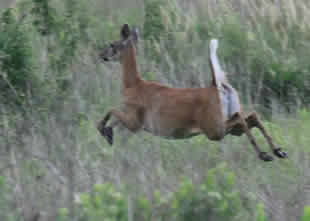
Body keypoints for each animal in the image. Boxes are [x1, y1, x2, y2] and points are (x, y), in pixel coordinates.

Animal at [97, 24, 288, 161]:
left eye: (112, 45)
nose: (101, 55)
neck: (132, 85)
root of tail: (217, 85)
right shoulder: (132, 121)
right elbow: (114, 118)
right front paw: (108, 133)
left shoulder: (135, 119)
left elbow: (111, 110)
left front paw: (104, 131)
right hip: (228, 120)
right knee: (251, 117)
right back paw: (278, 151)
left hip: (213, 127)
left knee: (240, 119)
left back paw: (265, 154)